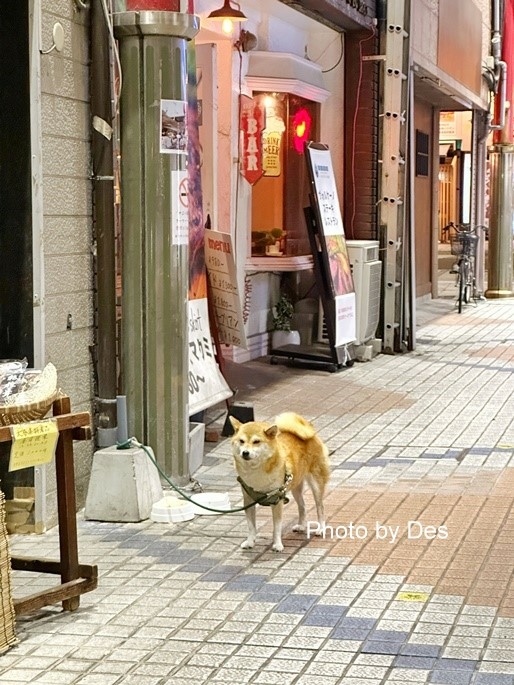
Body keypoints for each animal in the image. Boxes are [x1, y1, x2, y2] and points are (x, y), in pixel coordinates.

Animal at [228, 412, 328, 552]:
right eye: (241, 441)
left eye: (256, 442)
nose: (245, 452)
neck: (256, 471)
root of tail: (309, 432)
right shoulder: (248, 500)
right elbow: (251, 526)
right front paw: (250, 542)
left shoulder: (277, 500)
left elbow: (277, 527)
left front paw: (277, 545)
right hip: (295, 486)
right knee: (302, 506)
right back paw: (302, 526)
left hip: (316, 484)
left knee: (320, 507)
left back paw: (321, 529)